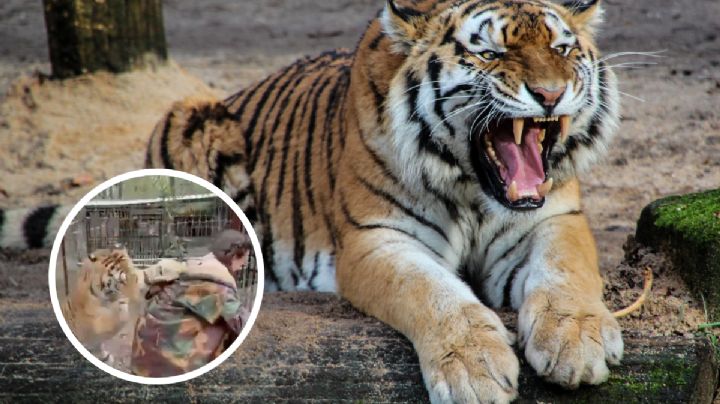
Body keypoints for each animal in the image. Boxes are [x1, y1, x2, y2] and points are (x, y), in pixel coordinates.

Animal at [2, 0, 622, 401]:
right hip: (190, 113)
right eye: (491, 53)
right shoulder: (376, 239)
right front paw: (474, 368)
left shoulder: (553, 218)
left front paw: (577, 342)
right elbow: (433, 293)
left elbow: (566, 272)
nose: (550, 94)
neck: (473, 187)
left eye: (562, 49)